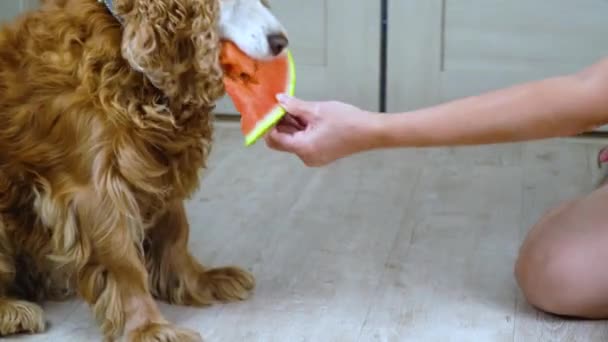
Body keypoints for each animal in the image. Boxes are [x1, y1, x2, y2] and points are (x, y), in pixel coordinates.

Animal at [0, 0, 288, 340]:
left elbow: (176, 231)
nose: (282, 43)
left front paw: (198, 281)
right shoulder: (96, 188)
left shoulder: (157, 161)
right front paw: (150, 326)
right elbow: (124, 261)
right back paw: (12, 311)